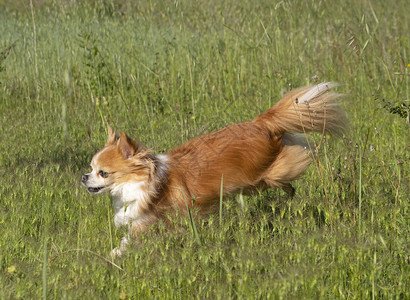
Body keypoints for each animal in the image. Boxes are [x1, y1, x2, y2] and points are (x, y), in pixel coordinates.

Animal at [81, 82, 346, 258]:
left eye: (103, 173)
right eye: (91, 168)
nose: (84, 177)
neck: (143, 180)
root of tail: (260, 123)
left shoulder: (154, 219)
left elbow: (130, 239)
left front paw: (113, 254)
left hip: (264, 175)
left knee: (290, 162)